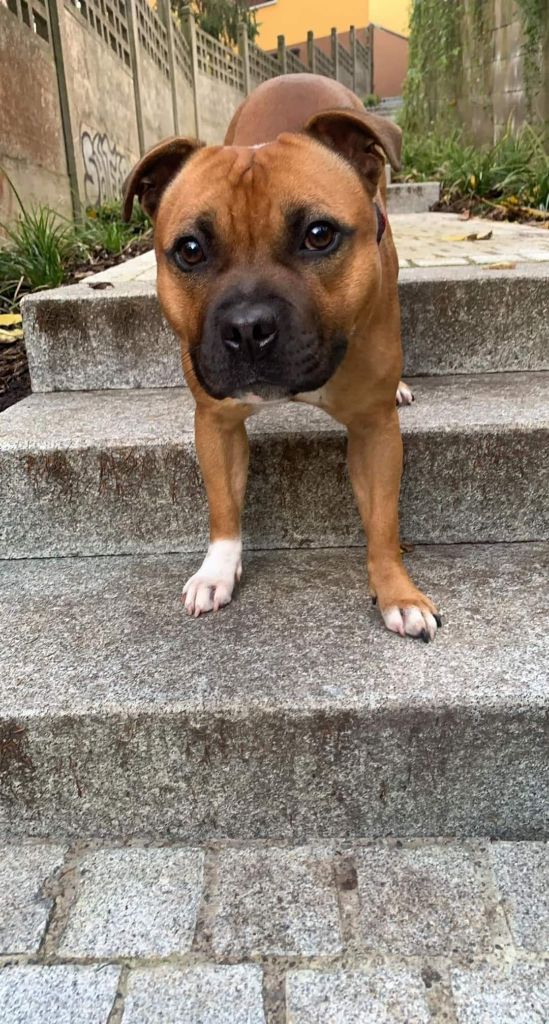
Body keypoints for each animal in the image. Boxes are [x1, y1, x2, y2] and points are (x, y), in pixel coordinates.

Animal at [123, 73, 441, 641]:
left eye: (319, 235)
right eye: (189, 250)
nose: (248, 328)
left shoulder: (375, 430)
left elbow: (383, 521)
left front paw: (398, 593)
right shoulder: (216, 421)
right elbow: (223, 503)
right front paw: (217, 570)